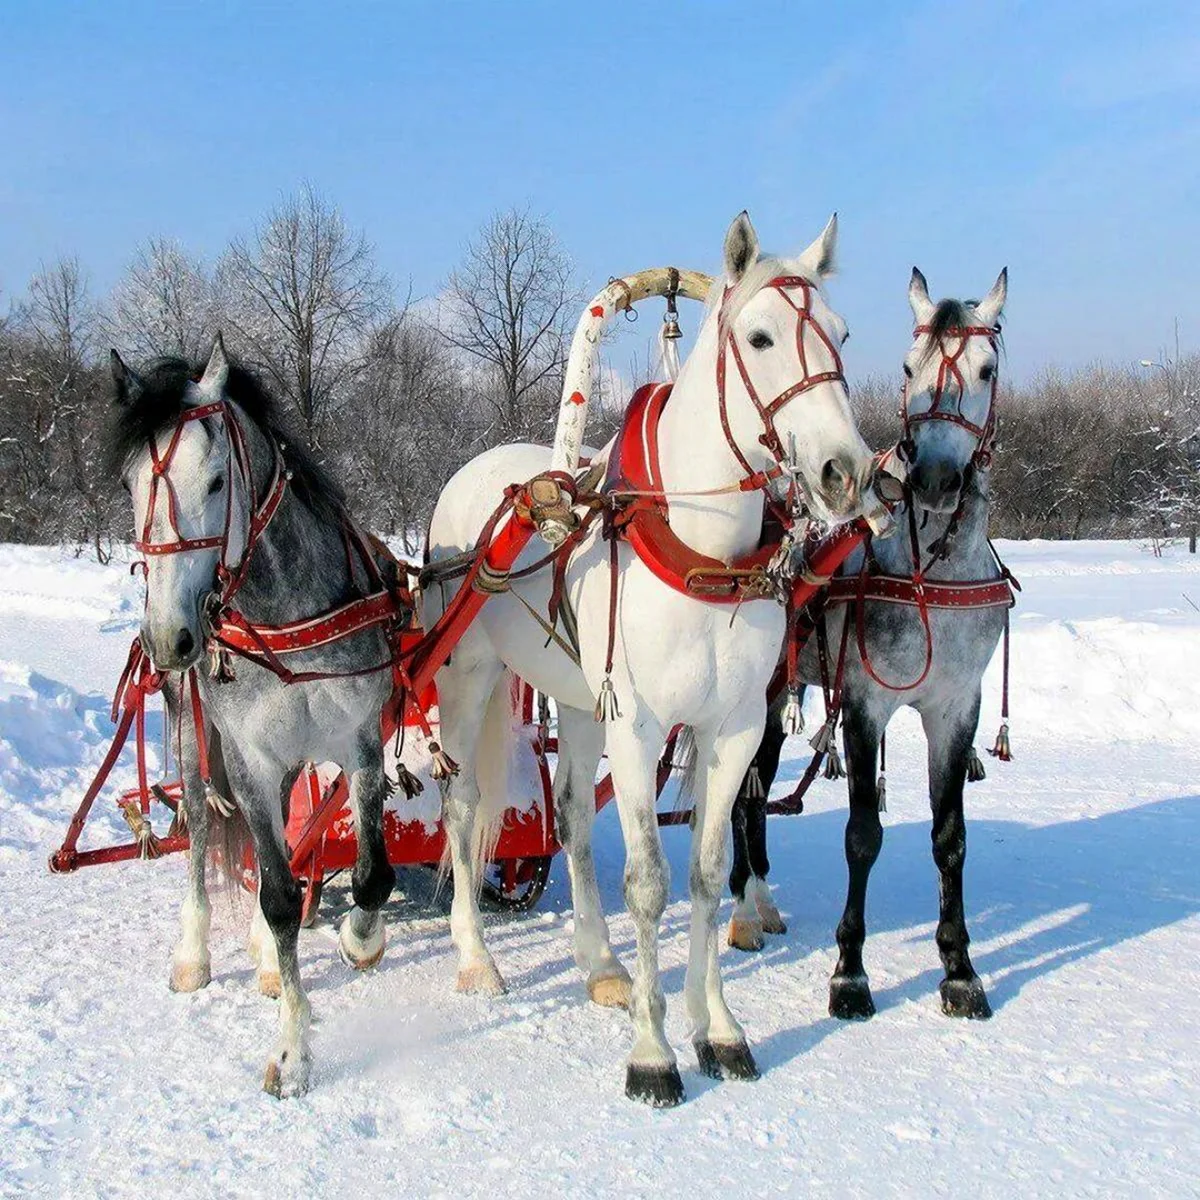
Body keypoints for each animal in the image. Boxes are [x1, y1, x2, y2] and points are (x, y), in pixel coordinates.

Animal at [106, 338, 403, 1099]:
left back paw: (267, 956)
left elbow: (369, 873)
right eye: (129, 486)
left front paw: (361, 939)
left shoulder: (359, 742)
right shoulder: (249, 760)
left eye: (216, 482)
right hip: (192, 737)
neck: (283, 611)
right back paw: (196, 952)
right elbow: (275, 896)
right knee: (199, 828)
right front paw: (294, 1051)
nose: (169, 636)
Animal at [422, 213, 873, 1104]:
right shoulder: (638, 728)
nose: (846, 471)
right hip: (471, 681)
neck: (703, 548)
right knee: (462, 810)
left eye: (840, 333)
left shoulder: (733, 729)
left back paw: (601, 964)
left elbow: (707, 868)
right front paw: (654, 1050)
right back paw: (476, 958)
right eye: (761, 337)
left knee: (568, 817)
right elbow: (650, 883)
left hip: (576, 702)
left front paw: (719, 1029)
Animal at [729, 272, 1012, 1022]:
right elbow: (862, 837)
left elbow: (950, 840)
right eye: (910, 368)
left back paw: (755, 899)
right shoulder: (863, 705)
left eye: (986, 369)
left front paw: (959, 969)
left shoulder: (955, 709)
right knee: (742, 793)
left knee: (754, 789)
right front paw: (850, 972)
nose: (936, 479)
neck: (928, 574)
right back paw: (741, 908)